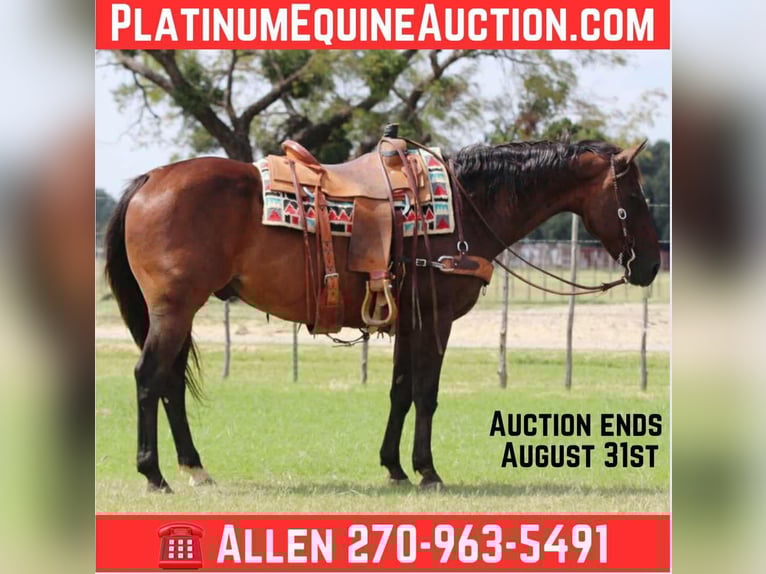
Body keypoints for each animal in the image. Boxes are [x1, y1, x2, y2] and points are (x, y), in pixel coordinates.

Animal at [104, 138, 660, 492]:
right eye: (635, 196)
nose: (653, 264)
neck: (466, 207)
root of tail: (152, 178)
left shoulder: (409, 323)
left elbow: (400, 392)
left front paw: (394, 467)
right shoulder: (436, 321)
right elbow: (426, 394)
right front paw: (428, 471)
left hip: (179, 312)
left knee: (170, 384)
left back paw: (194, 468)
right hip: (174, 309)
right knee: (149, 378)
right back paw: (154, 475)